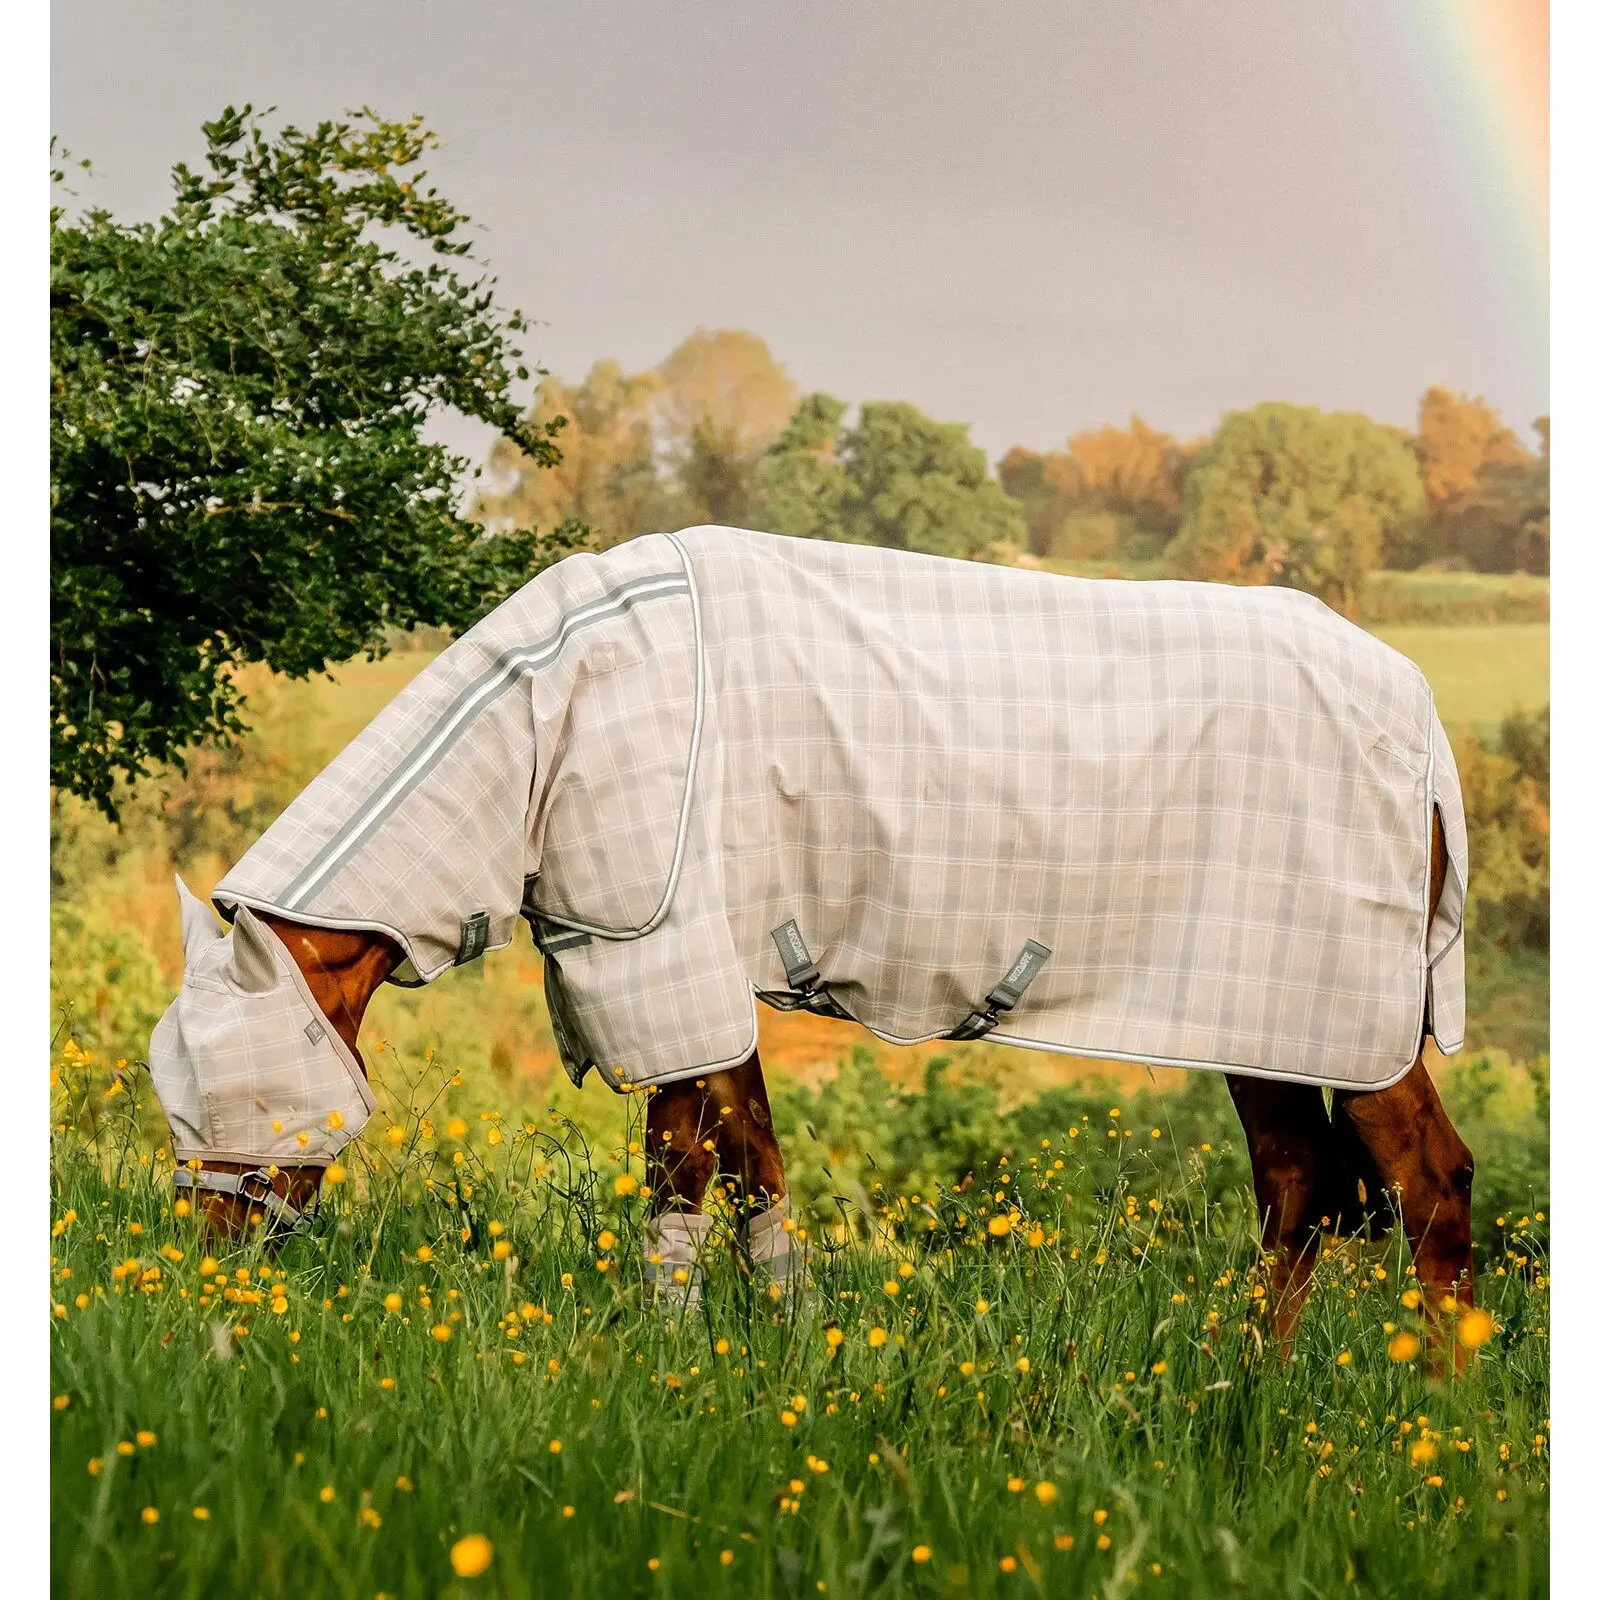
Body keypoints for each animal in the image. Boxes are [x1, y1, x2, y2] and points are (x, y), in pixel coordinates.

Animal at [150, 526, 1475, 1354]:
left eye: (231, 1086)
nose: (203, 1271)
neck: (552, 717)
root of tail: (1418, 719)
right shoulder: (706, 970)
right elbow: (754, 1168)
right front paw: (790, 1348)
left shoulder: (659, 954)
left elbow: (680, 1170)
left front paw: (668, 1353)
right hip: (1276, 1020)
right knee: (1300, 1188)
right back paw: (1246, 1390)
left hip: (1345, 1017)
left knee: (1426, 1181)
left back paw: (1431, 1423)